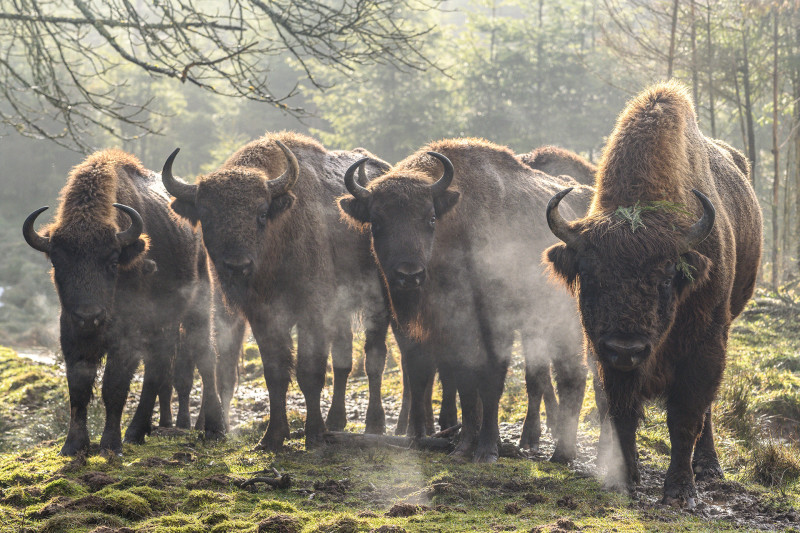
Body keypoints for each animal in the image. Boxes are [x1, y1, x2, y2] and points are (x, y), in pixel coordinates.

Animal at [23, 149, 223, 454]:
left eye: (113, 260)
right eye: (58, 261)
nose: (89, 316)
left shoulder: (126, 338)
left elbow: (113, 386)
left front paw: (110, 444)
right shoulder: (71, 334)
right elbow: (78, 389)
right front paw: (73, 445)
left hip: (198, 307)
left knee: (205, 358)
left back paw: (212, 429)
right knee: (158, 371)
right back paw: (139, 431)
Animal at [162, 133, 396, 448]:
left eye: (261, 213)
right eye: (206, 215)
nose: (237, 266)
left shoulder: (313, 312)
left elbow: (310, 372)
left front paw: (314, 435)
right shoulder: (264, 318)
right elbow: (276, 374)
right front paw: (272, 436)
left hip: (378, 301)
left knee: (374, 358)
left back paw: (374, 425)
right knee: (343, 359)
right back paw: (336, 421)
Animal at [340, 138, 588, 462]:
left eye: (431, 218)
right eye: (376, 222)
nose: (409, 275)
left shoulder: (495, 325)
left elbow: (490, 382)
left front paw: (487, 450)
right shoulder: (451, 329)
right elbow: (464, 384)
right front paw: (464, 447)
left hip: (564, 321)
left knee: (572, 374)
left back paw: (561, 452)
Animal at [544, 81, 764, 504]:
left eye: (666, 277)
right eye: (589, 275)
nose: (627, 348)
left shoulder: (704, 345)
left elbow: (685, 416)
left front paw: (680, 490)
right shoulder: (603, 354)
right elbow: (620, 412)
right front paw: (626, 477)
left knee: (706, 411)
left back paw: (708, 467)